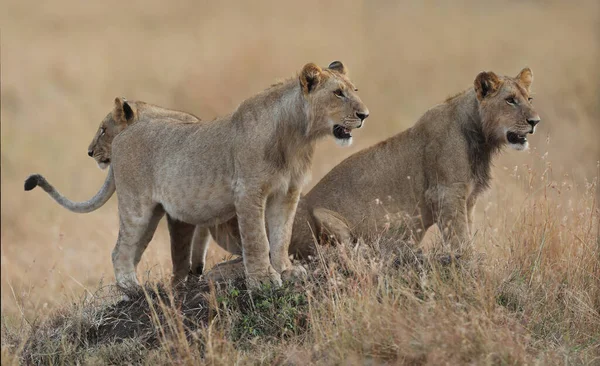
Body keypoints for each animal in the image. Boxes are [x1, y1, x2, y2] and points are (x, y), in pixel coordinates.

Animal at [23, 60, 368, 294]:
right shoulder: (248, 191)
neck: (298, 137)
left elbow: (280, 235)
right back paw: (132, 290)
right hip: (136, 207)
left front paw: (286, 270)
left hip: (152, 214)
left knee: (131, 249)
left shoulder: (287, 193)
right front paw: (263, 280)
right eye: (338, 94)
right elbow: (257, 238)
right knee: (120, 249)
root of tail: (125, 136)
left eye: (354, 91)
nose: (365, 115)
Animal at [199, 66, 540, 278]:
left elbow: (465, 229)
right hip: (322, 218)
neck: (482, 139)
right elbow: (459, 236)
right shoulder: (446, 193)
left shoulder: (466, 198)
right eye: (510, 100)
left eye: (529, 98)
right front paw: (465, 260)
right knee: (336, 251)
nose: (535, 121)